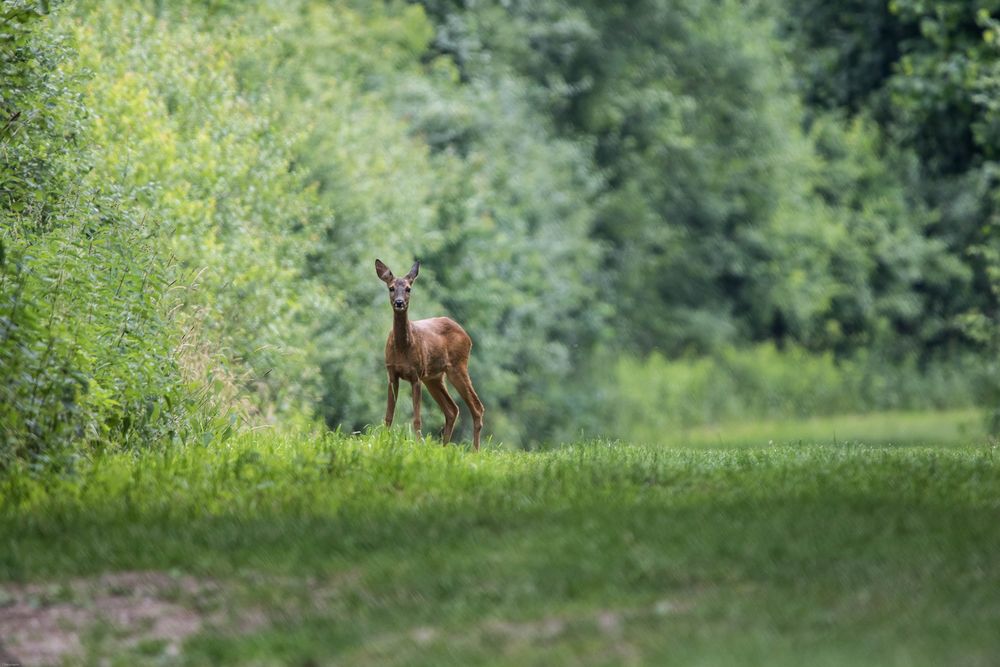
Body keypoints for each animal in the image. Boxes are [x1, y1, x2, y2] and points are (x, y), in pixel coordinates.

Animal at [376, 258, 484, 452]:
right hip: (434, 377)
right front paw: (384, 440)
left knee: (476, 407)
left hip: (457, 367)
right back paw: (444, 448)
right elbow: (389, 415)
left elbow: (417, 418)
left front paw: (418, 445)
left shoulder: (416, 375)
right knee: (452, 409)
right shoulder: (392, 374)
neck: (402, 347)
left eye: (409, 288)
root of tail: (467, 336)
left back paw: (475, 451)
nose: (399, 302)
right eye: (391, 287)